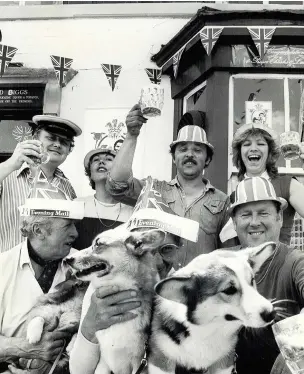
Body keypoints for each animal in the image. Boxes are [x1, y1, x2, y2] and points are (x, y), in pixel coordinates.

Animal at [148, 241, 278, 372]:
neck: (206, 329)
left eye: (252, 280)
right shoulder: (160, 362)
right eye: (229, 289)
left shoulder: (223, 364)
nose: (271, 313)